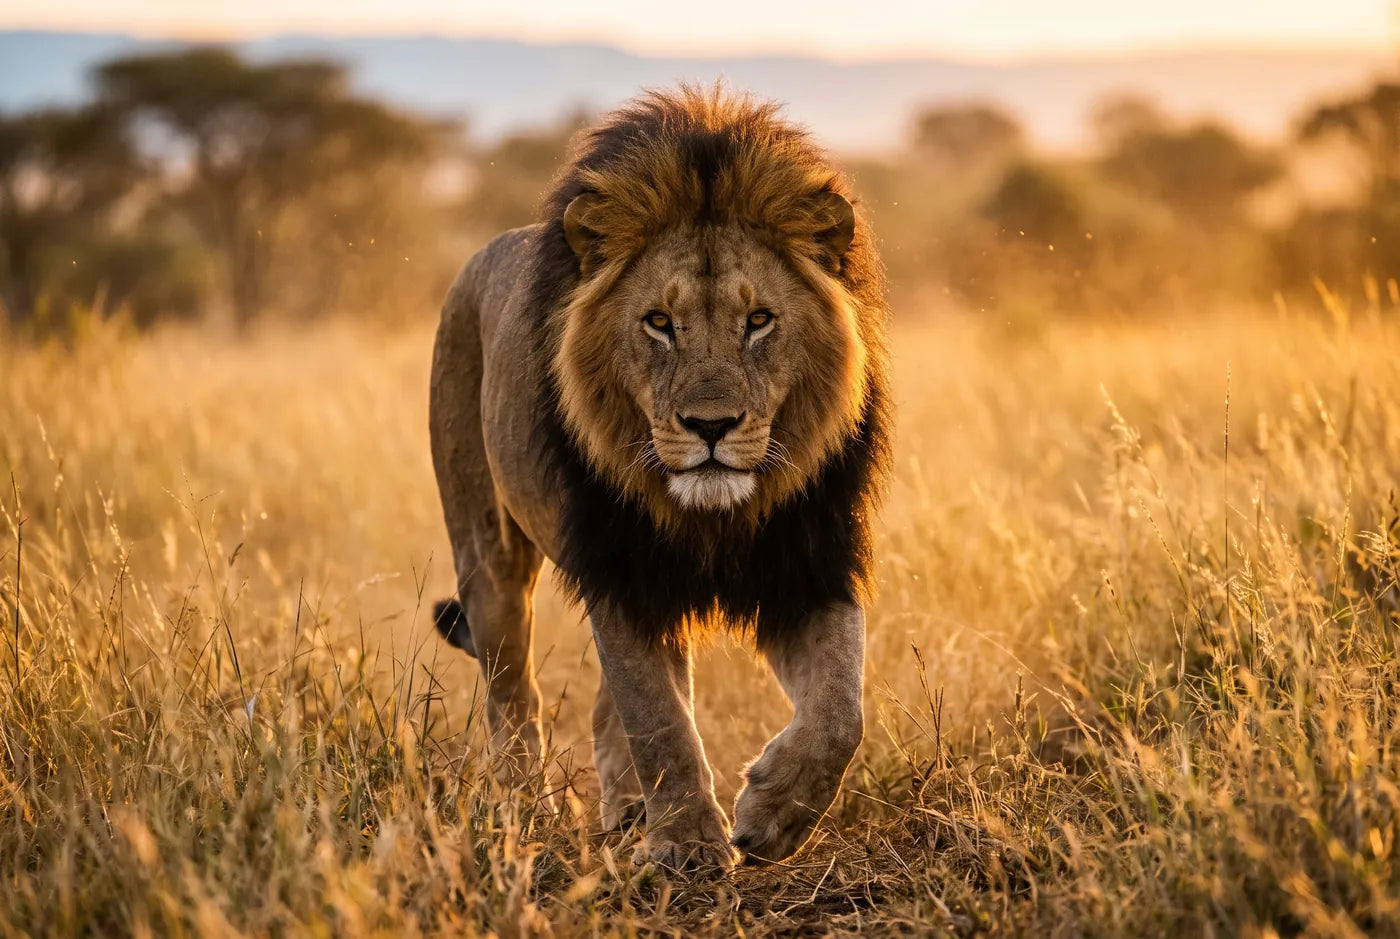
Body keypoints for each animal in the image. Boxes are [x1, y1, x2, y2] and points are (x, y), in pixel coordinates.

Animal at [429, 86, 892, 870]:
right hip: (487, 556)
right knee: (512, 694)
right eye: (658, 322)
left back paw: (625, 813)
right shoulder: (623, 573)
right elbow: (658, 720)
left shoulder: (807, 562)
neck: (714, 515)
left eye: (759, 320)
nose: (711, 426)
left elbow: (839, 711)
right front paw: (687, 844)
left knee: (600, 707)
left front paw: (772, 816)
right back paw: (527, 814)